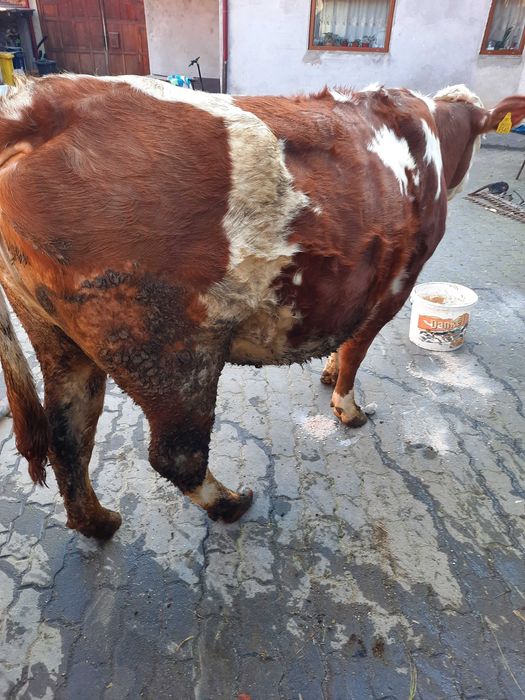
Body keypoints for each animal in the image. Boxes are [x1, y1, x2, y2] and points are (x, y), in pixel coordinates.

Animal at [0, 75, 523, 539]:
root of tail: (43, 105)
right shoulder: (394, 284)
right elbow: (357, 348)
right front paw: (348, 408)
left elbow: (344, 349)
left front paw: (328, 373)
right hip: (168, 349)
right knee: (176, 455)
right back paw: (229, 504)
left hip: (57, 335)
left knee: (68, 435)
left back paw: (97, 522)